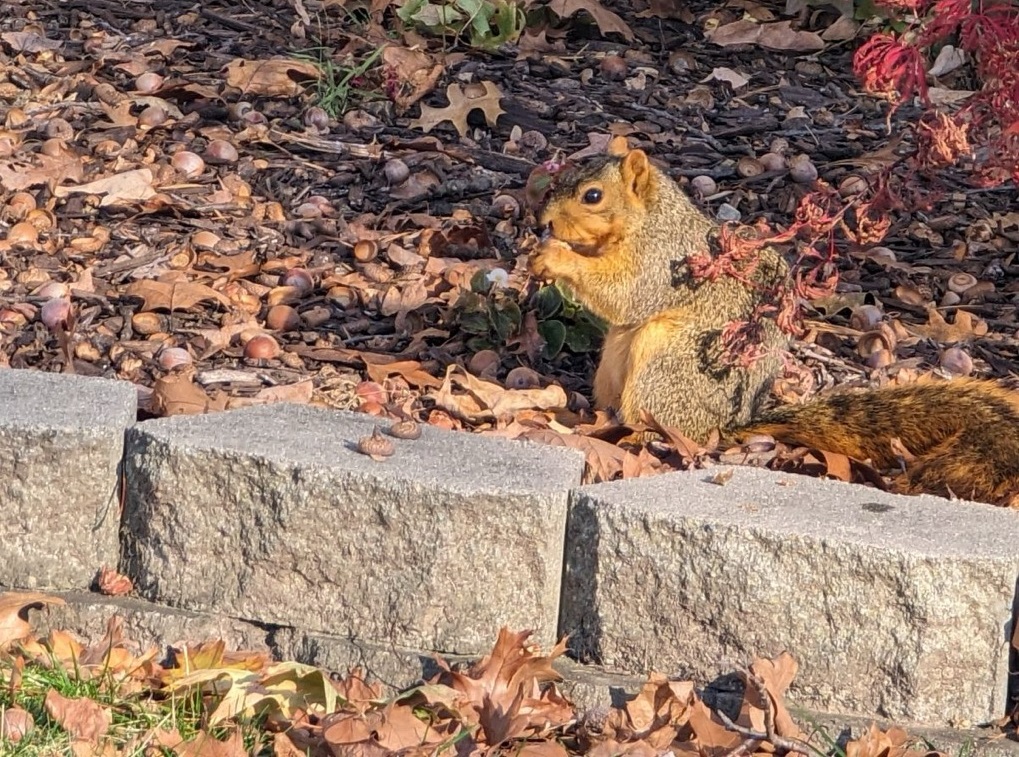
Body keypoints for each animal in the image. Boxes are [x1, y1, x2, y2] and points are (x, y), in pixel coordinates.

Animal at [529, 136, 1019, 505]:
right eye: (560, 180)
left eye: (593, 196)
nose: (543, 221)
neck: (650, 220)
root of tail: (733, 424)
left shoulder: (664, 262)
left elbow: (626, 292)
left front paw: (556, 257)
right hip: (612, 364)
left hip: (665, 366)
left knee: (666, 422)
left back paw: (635, 437)